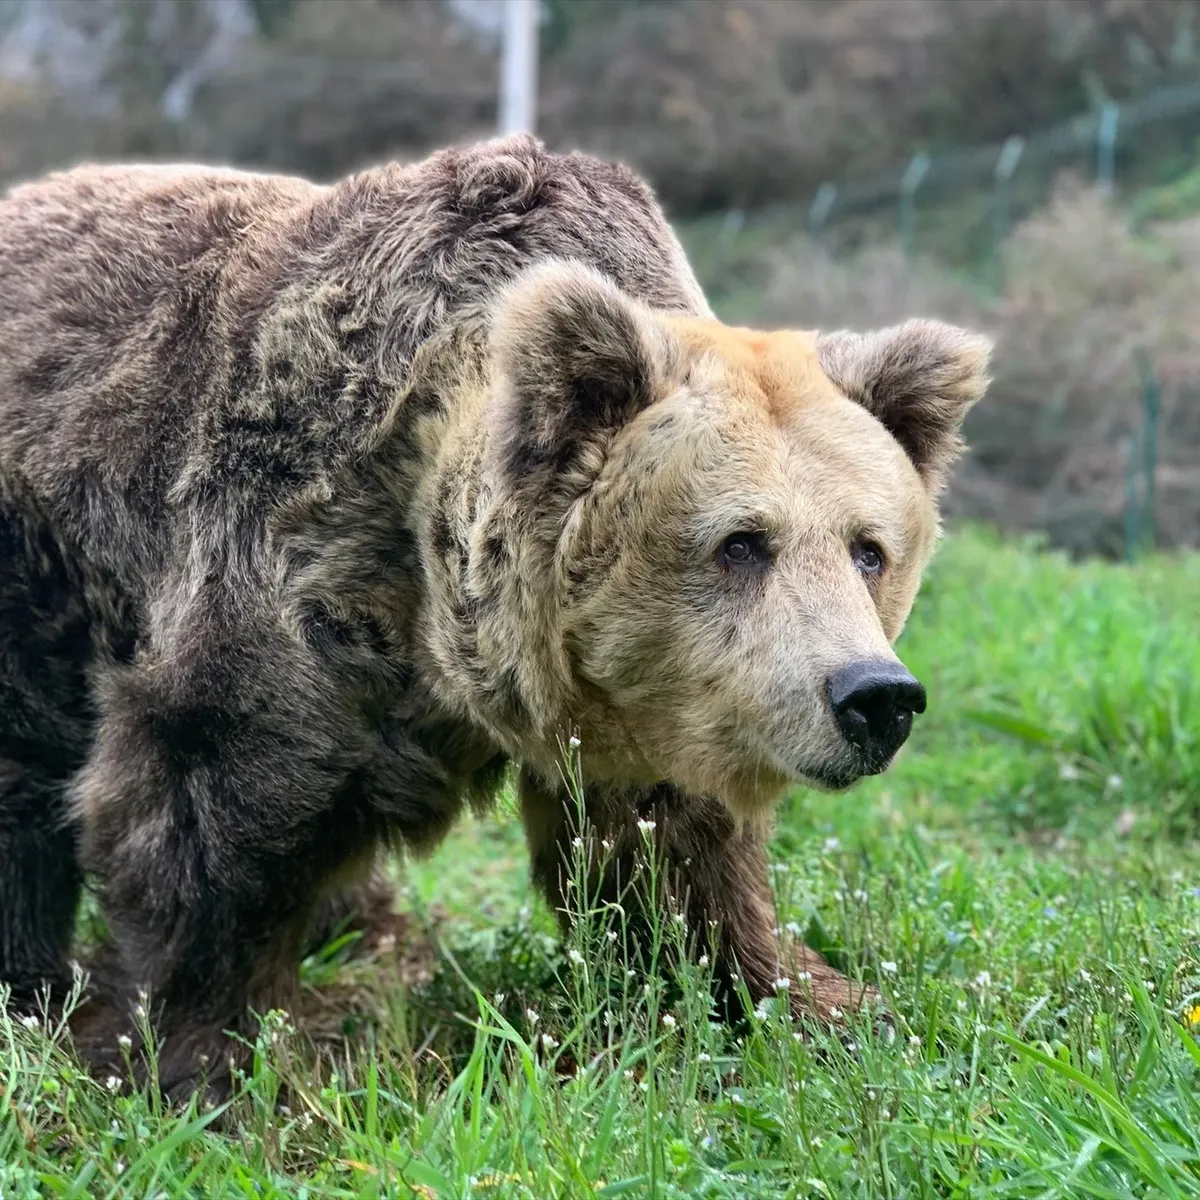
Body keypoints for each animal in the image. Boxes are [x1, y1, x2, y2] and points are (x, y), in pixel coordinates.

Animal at [0, 134, 990, 1097]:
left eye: (869, 548)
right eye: (742, 543)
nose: (875, 697)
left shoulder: (665, 702)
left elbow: (674, 861)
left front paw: (820, 1005)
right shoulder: (288, 551)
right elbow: (210, 799)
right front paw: (206, 1058)